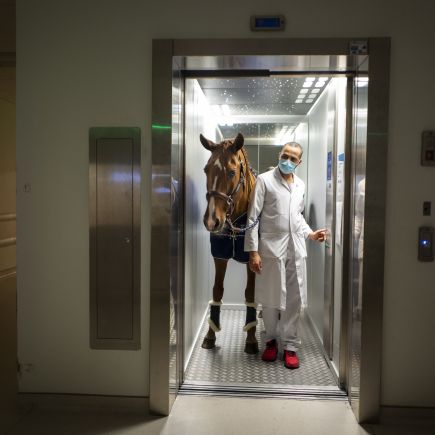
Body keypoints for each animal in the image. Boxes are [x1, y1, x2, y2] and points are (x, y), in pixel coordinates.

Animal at [200, 133, 258, 354]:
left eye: (232, 171)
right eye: (206, 169)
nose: (211, 221)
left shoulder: (251, 261)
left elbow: (250, 294)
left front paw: (251, 337)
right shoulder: (220, 256)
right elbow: (217, 290)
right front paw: (210, 334)